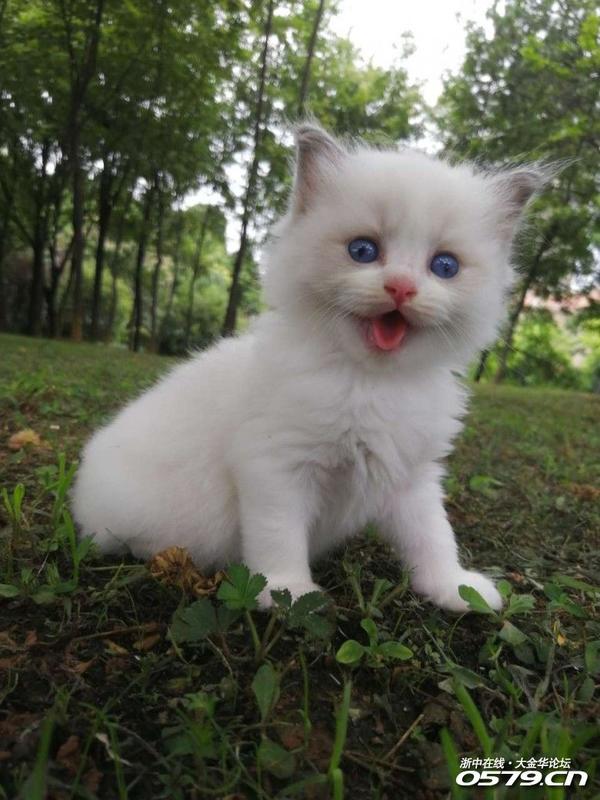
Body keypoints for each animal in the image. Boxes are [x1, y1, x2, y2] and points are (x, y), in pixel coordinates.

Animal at [72, 123, 547, 611]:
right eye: (363, 250)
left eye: (445, 266)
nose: (401, 287)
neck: (371, 381)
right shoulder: (276, 465)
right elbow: (278, 537)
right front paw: (289, 593)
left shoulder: (412, 478)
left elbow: (433, 536)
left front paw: (455, 588)